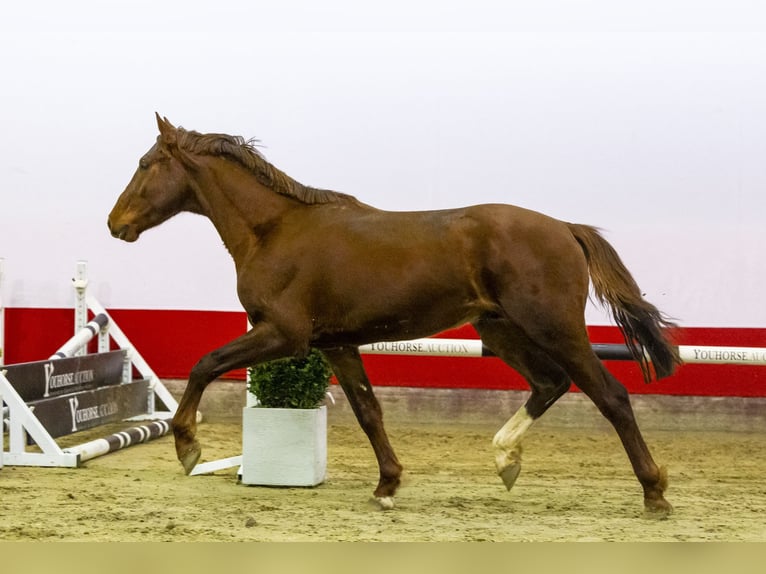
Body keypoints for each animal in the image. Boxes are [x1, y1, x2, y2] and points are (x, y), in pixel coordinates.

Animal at [109, 113, 684, 516]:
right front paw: (387, 484)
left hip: (554, 328)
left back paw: (654, 493)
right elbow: (369, 411)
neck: (274, 231)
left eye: (144, 164)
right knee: (550, 383)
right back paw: (506, 461)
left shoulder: (284, 335)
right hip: (501, 330)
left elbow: (206, 363)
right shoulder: (335, 343)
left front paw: (188, 446)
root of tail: (565, 228)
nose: (116, 223)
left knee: (610, 395)